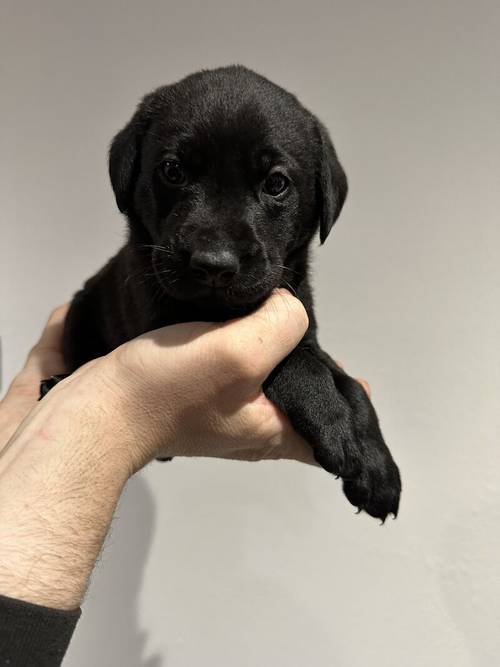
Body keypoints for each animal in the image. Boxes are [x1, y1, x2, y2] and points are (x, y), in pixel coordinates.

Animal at [62, 65, 400, 520]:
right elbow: (292, 362)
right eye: (172, 171)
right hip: (77, 312)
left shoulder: (304, 325)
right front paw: (333, 423)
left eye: (276, 183)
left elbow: (347, 384)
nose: (214, 264)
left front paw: (376, 465)